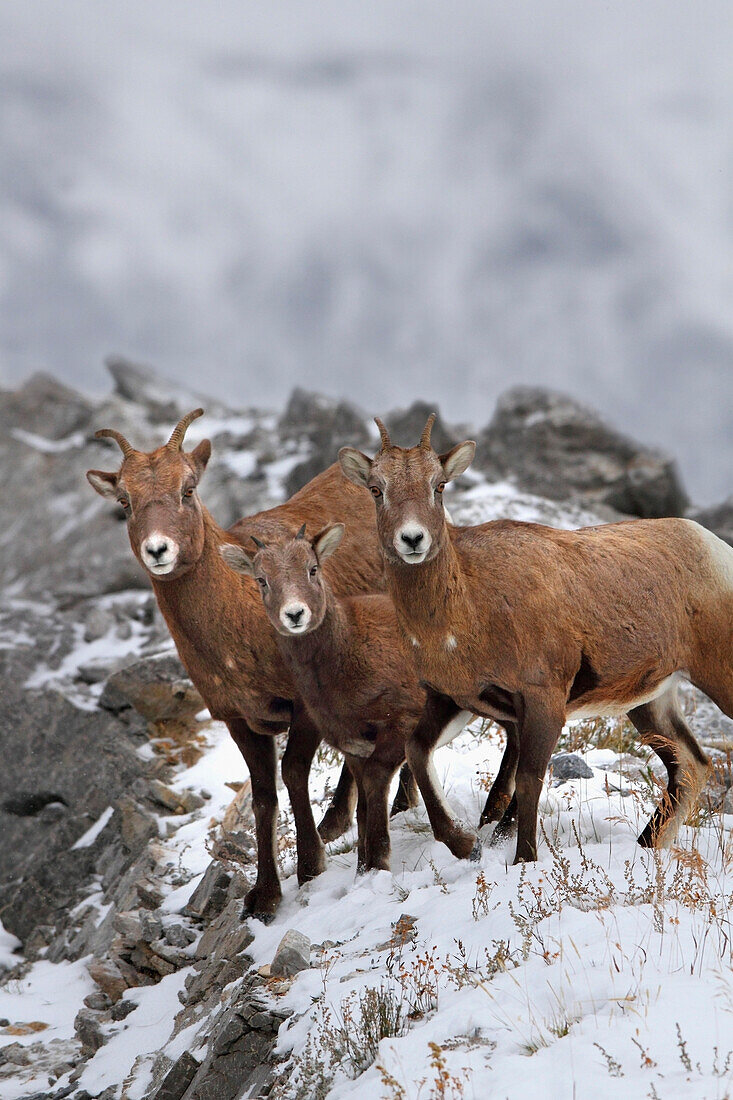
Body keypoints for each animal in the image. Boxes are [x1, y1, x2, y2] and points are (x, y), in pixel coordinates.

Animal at [84, 409, 411, 915]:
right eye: (125, 500)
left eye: (188, 488)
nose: (158, 550)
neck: (236, 631)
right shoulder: (240, 720)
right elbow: (262, 798)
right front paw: (264, 896)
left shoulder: (302, 710)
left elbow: (293, 775)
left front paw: (311, 865)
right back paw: (340, 820)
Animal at [220, 523, 449, 875]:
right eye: (261, 580)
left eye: (312, 569)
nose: (295, 614)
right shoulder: (354, 748)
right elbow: (363, 807)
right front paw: (363, 868)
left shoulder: (401, 723)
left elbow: (375, 785)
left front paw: (378, 862)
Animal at [338, 415, 730, 862]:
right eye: (376, 489)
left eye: (438, 486)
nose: (413, 539)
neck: (467, 608)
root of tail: (715, 548)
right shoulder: (449, 698)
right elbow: (417, 751)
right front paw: (462, 843)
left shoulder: (543, 703)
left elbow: (528, 781)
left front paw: (524, 859)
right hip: (649, 702)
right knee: (691, 766)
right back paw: (647, 846)